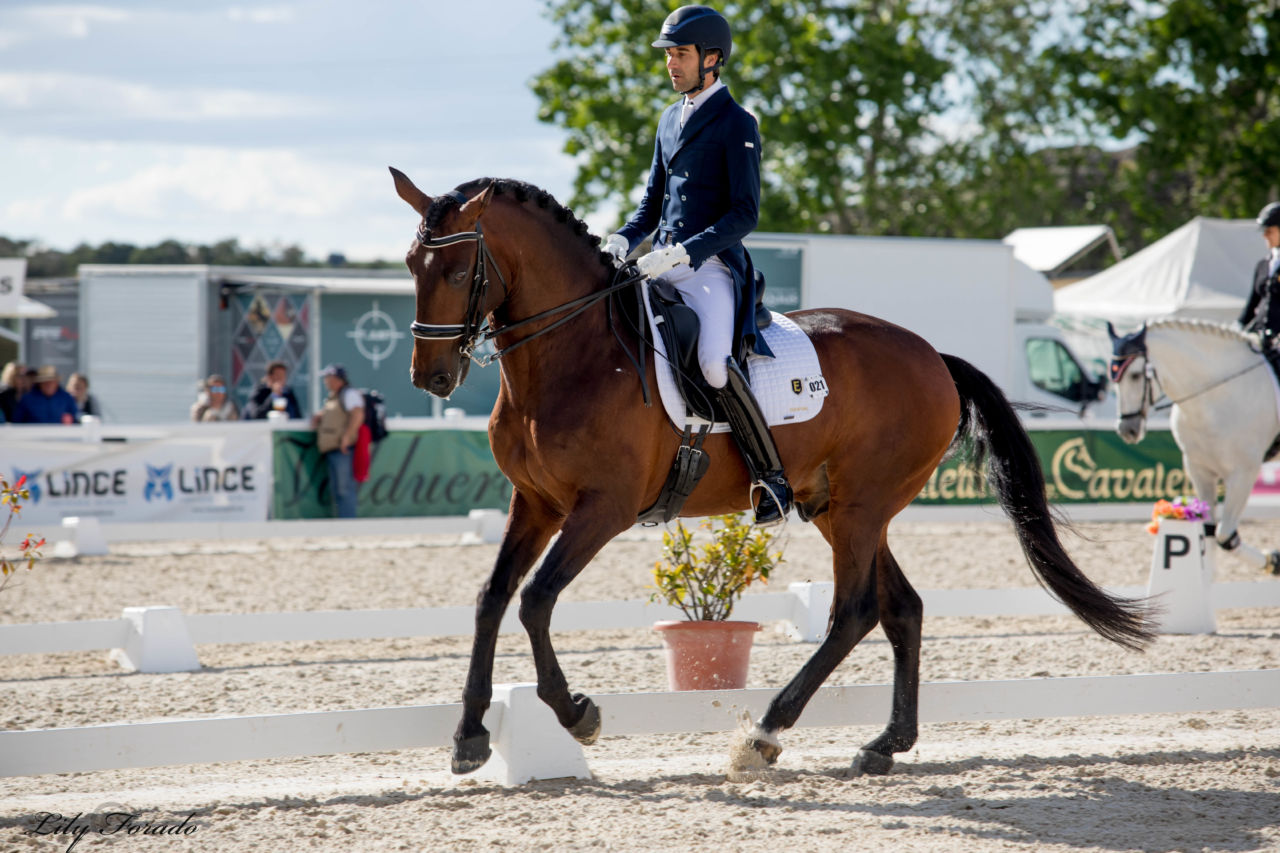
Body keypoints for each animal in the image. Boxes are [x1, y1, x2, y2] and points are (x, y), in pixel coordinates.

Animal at [386, 169, 1152, 773]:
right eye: (409, 265)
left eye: (455, 271)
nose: (430, 377)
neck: (574, 352)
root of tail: (934, 356)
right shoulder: (535, 503)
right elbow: (491, 597)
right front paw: (469, 736)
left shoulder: (601, 508)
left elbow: (536, 600)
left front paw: (577, 713)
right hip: (841, 508)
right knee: (901, 607)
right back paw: (884, 744)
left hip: (861, 508)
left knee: (854, 611)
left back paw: (763, 733)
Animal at [1111, 315, 1280, 573]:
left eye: (1136, 375)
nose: (1127, 430)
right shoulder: (1199, 470)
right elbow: (1208, 535)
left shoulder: (1243, 473)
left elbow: (1226, 537)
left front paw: (1273, 561)